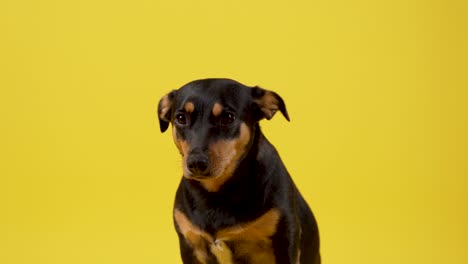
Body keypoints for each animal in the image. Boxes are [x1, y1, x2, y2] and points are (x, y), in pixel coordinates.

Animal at [159, 79, 320, 264]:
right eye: (180, 118)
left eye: (228, 117)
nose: (196, 163)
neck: (218, 192)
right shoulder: (190, 245)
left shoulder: (285, 240)